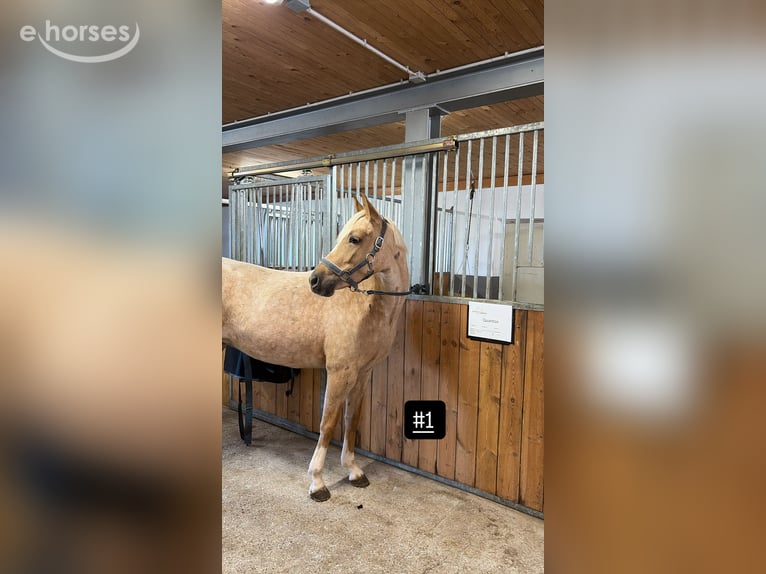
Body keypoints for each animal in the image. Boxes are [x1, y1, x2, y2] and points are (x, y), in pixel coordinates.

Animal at [222, 194, 410, 501]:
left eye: (354, 239)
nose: (315, 280)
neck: (368, 306)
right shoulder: (338, 372)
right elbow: (328, 423)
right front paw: (318, 482)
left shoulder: (362, 374)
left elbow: (351, 419)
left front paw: (353, 471)